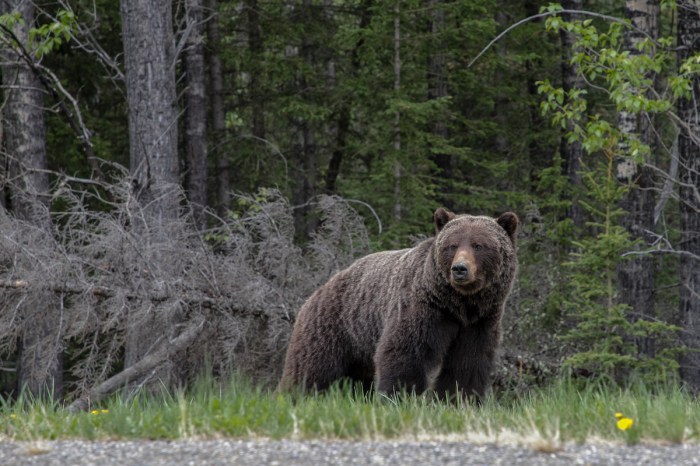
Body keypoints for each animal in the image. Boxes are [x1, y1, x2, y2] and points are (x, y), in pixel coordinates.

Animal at [279, 208, 518, 402]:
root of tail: (317, 291)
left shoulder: (479, 321)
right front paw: (399, 396)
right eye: (452, 245)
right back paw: (293, 396)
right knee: (311, 368)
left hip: (358, 346)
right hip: (332, 326)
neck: (459, 304)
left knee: (357, 378)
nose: (460, 269)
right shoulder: (424, 308)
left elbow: (468, 362)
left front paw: (459, 399)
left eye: (479, 245)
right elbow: (405, 352)